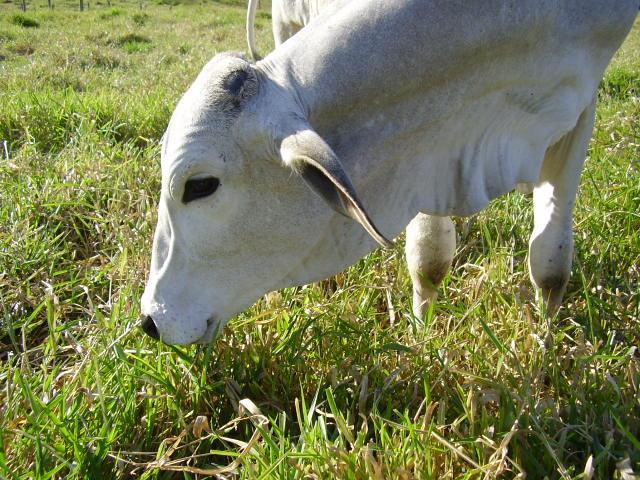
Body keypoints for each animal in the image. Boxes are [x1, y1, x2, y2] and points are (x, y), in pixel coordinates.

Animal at [141, 0, 640, 344]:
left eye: (200, 186)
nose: (149, 319)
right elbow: (430, 257)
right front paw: (423, 333)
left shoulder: (579, 98)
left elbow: (550, 259)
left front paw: (546, 338)